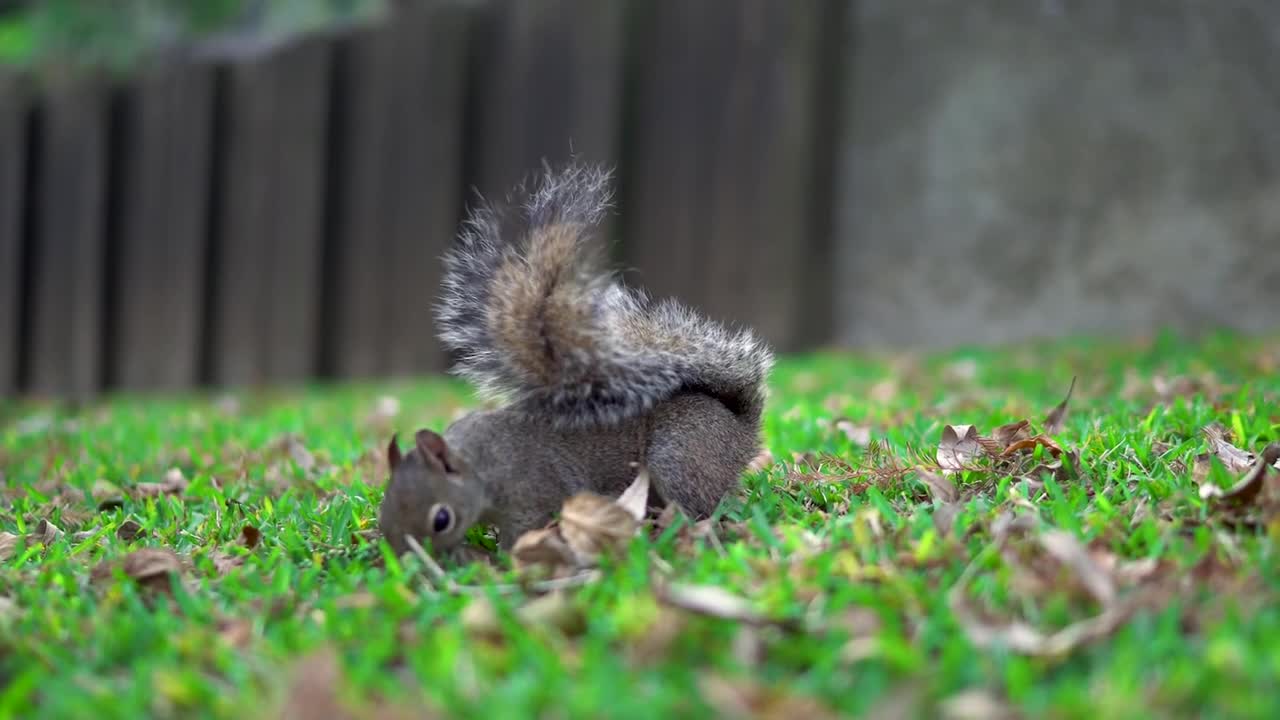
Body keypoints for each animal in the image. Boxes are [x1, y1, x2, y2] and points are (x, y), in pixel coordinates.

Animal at [373, 162, 773, 556]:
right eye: (384, 509)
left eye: (441, 520)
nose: (408, 562)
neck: (480, 463)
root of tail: (742, 429)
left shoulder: (532, 492)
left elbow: (522, 531)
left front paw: (501, 559)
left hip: (681, 459)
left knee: (698, 506)